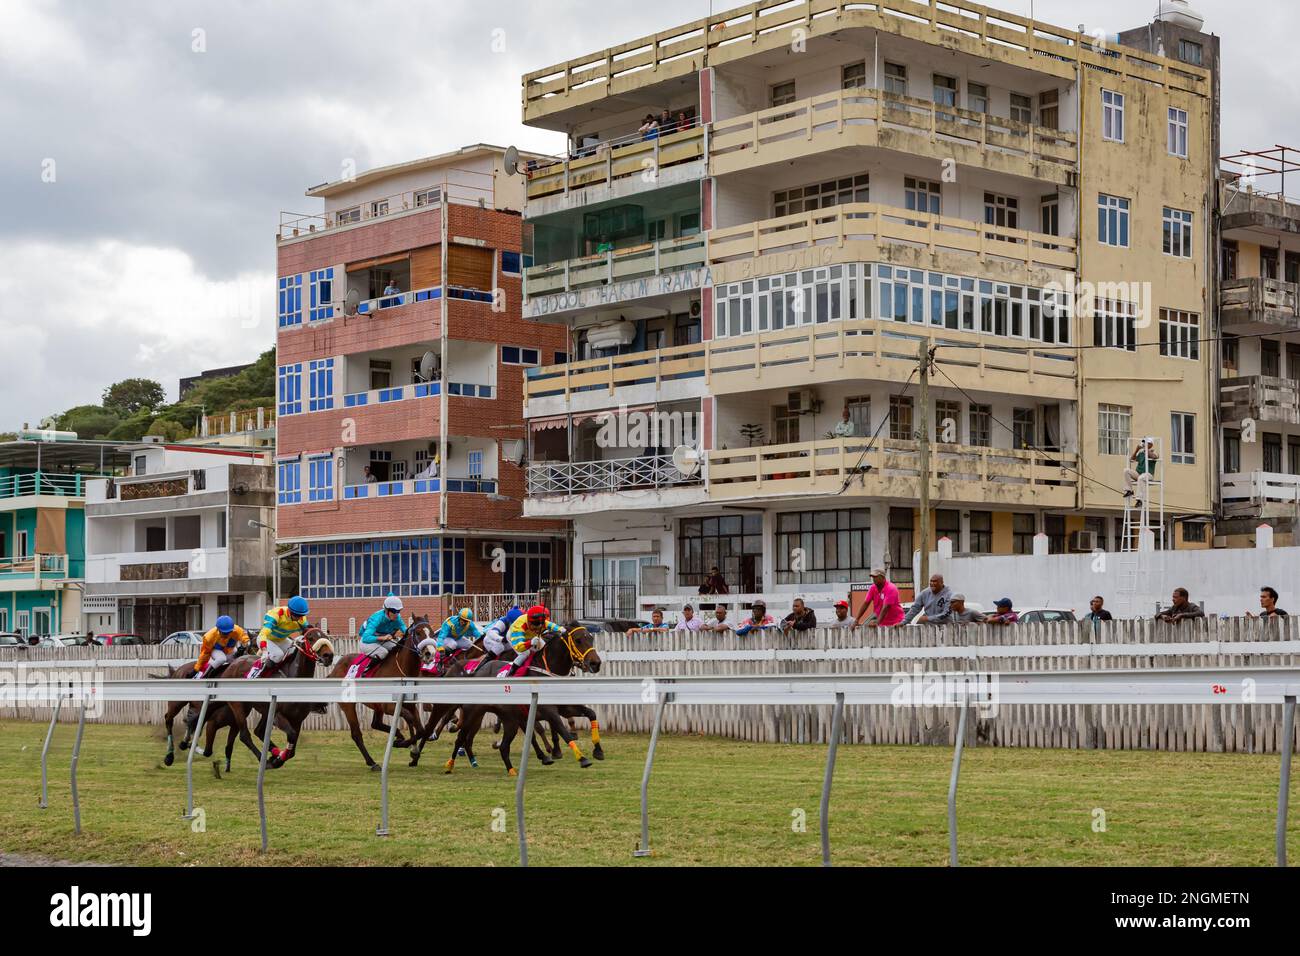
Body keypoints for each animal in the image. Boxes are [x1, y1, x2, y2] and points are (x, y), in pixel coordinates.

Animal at [444, 621, 600, 780]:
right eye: (578, 640)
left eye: (590, 638)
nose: (596, 663)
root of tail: (475, 672)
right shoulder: (548, 712)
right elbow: (562, 731)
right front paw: (581, 758)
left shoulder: (564, 708)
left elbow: (591, 713)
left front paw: (598, 751)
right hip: (473, 713)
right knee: (460, 737)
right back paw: (450, 765)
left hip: (508, 719)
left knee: (499, 744)